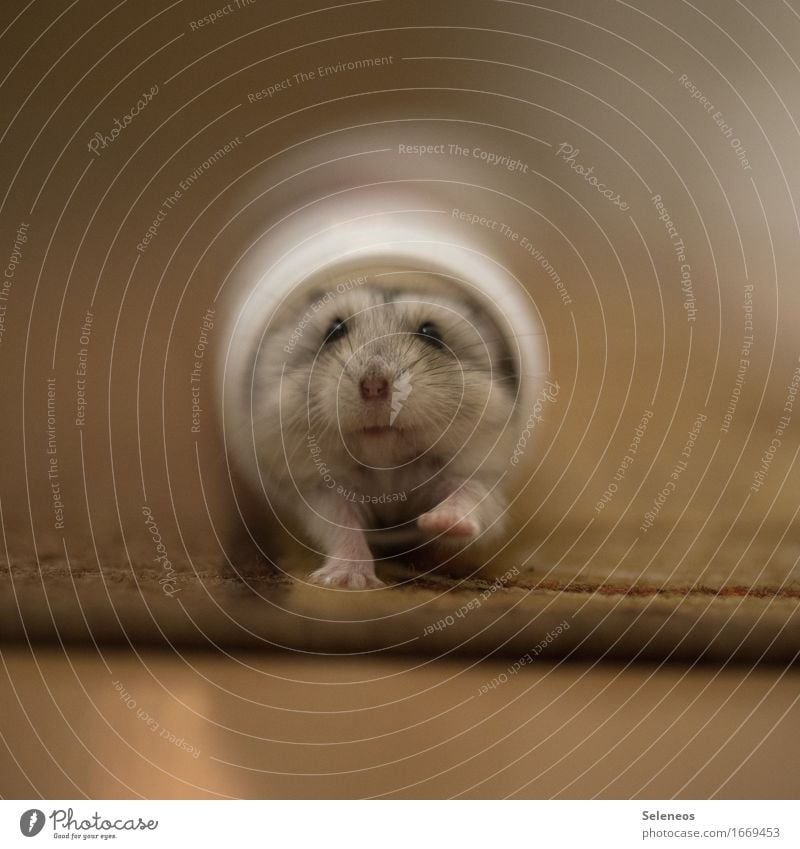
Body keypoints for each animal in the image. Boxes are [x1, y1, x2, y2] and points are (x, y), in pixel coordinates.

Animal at [247, 282, 520, 588]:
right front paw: (347, 581)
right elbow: (342, 526)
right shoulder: (321, 490)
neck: (386, 463)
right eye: (334, 331)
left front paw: (438, 523)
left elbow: (470, 495)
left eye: (432, 334)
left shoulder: (480, 475)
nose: (374, 386)